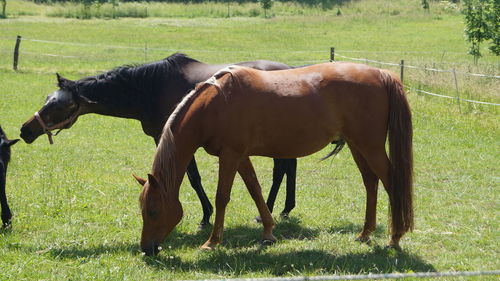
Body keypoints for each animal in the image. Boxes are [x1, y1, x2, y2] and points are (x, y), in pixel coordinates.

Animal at [19, 53, 300, 228]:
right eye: (47, 99)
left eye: (59, 106)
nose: (25, 130)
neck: (150, 89)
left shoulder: (172, 137)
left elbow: (193, 179)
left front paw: (205, 216)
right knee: (286, 167)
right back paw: (283, 209)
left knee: (282, 169)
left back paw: (271, 210)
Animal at [135, 62, 412, 255]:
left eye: (153, 211)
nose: (147, 249)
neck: (216, 104)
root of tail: (381, 74)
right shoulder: (241, 156)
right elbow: (255, 190)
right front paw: (268, 232)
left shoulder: (230, 155)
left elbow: (222, 197)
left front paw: (212, 242)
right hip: (357, 146)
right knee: (370, 183)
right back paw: (365, 234)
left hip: (370, 147)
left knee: (391, 183)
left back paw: (395, 238)